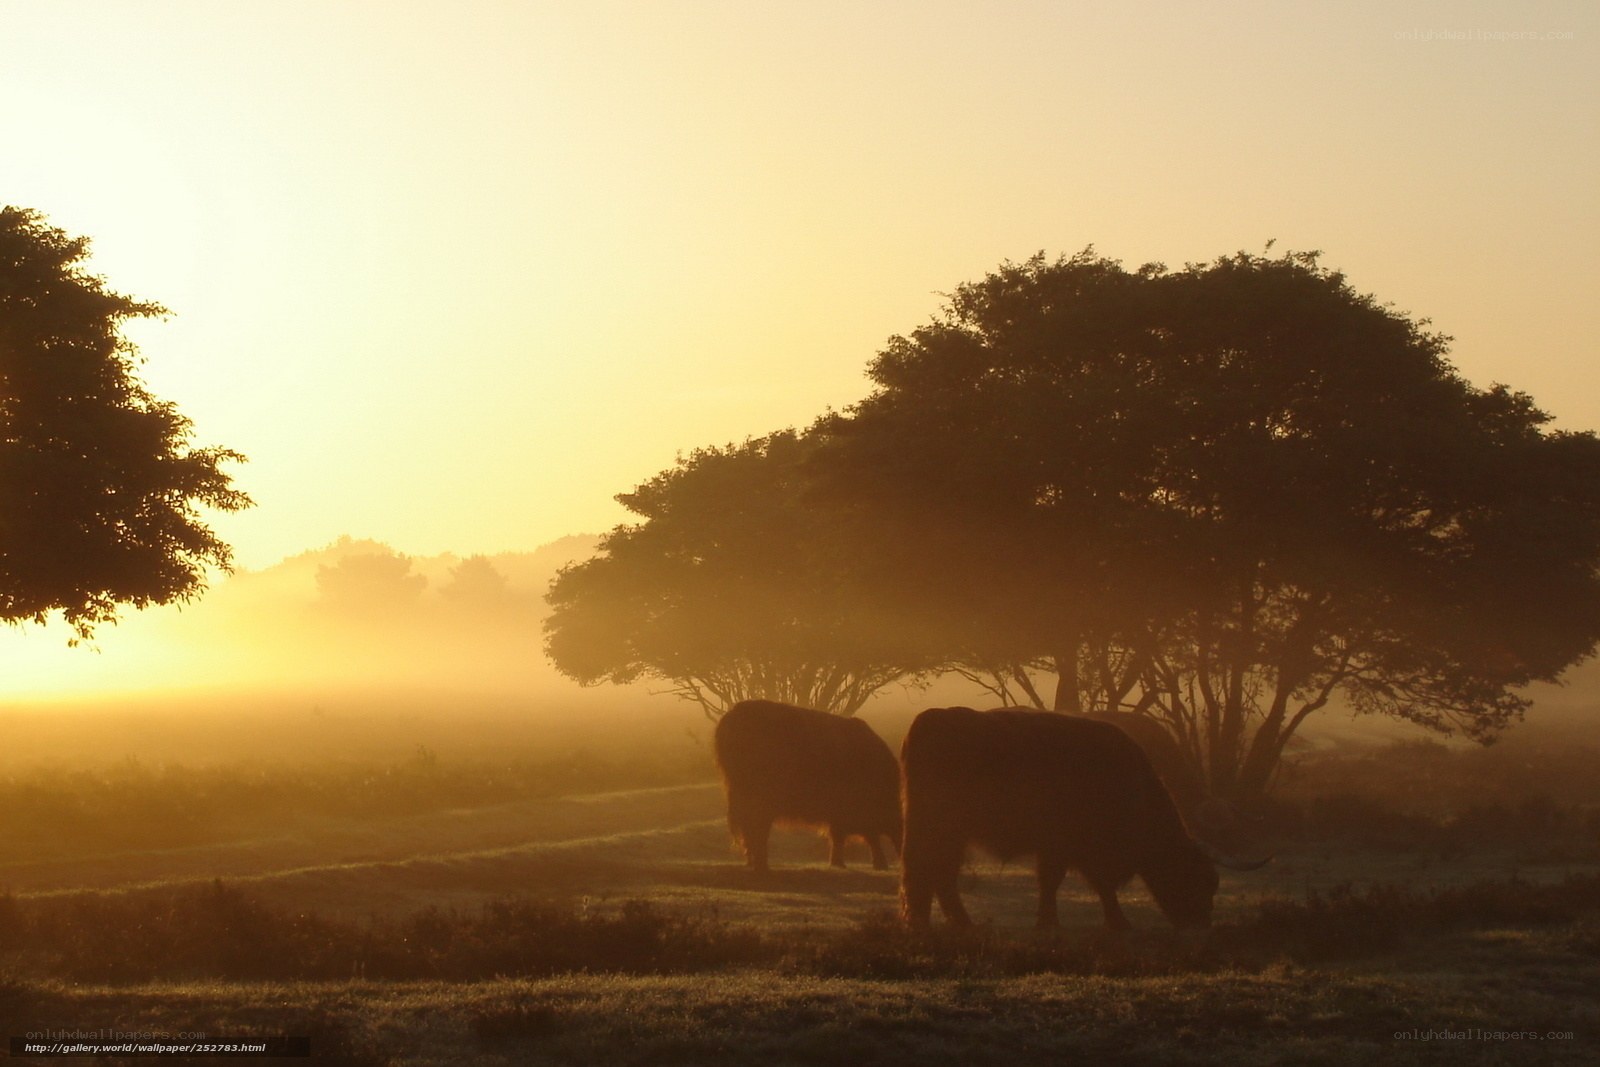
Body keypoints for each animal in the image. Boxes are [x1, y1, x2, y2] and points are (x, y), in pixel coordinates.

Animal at [713, 699, 903, 874]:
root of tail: (736, 713)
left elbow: (841, 837)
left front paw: (838, 863)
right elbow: (865, 837)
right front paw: (879, 863)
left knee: (749, 830)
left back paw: (753, 862)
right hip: (760, 801)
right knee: (757, 829)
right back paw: (762, 866)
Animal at [900, 706, 1265, 932]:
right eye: (1200, 879)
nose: (1201, 924)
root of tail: (932, 718)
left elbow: (1090, 885)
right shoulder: (1064, 846)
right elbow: (1069, 882)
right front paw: (1067, 922)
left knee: (937, 874)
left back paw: (947, 922)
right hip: (943, 828)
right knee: (935, 872)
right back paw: (951, 923)